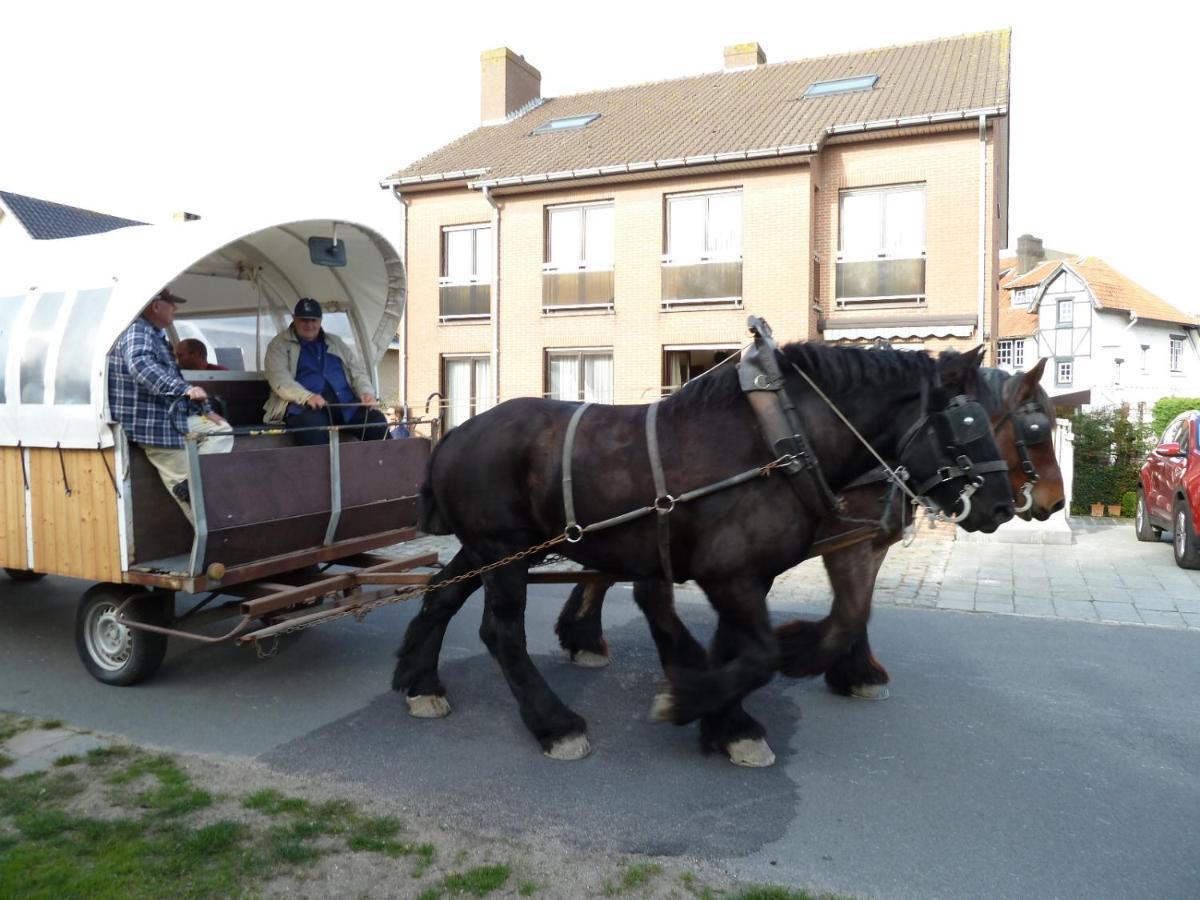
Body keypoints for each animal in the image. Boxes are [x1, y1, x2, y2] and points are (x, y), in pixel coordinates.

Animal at [393, 338, 1012, 768]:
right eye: (969, 423)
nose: (1003, 505)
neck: (780, 441)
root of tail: (452, 434)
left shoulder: (749, 575)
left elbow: (743, 646)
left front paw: (726, 723)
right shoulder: (730, 575)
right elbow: (760, 655)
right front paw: (696, 702)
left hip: (488, 550)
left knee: (439, 594)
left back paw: (420, 682)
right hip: (506, 550)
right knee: (500, 633)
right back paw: (555, 723)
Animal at [552, 362, 1070, 710]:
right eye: (1036, 429)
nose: (1057, 501)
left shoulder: (866, 543)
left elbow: (858, 607)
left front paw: (849, 669)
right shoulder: (848, 543)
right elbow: (850, 610)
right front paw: (815, 657)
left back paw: (586, 637)